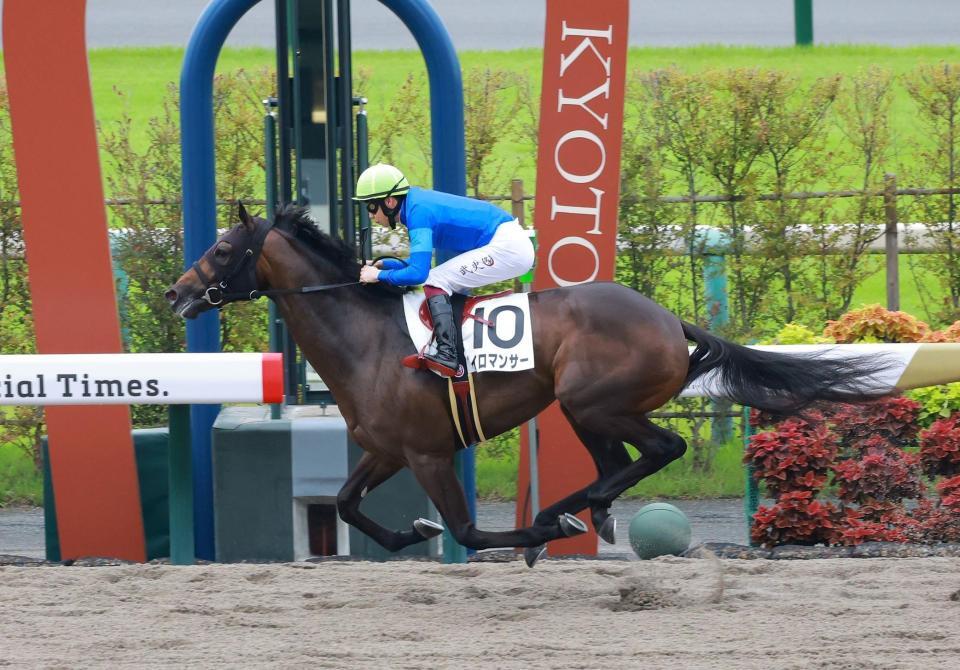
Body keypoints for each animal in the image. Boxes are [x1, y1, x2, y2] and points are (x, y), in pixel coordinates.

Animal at [165, 203, 889, 567]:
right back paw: (581, 510)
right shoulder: (387, 449)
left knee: (662, 450)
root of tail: (666, 317)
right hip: (586, 410)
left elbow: (468, 532)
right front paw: (411, 533)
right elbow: (344, 504)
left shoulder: (428, 453)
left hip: (591, 400)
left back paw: (559, 515)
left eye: (223, 250)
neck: (367, 339)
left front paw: (523, 539)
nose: (176, 292)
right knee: (617, 466)